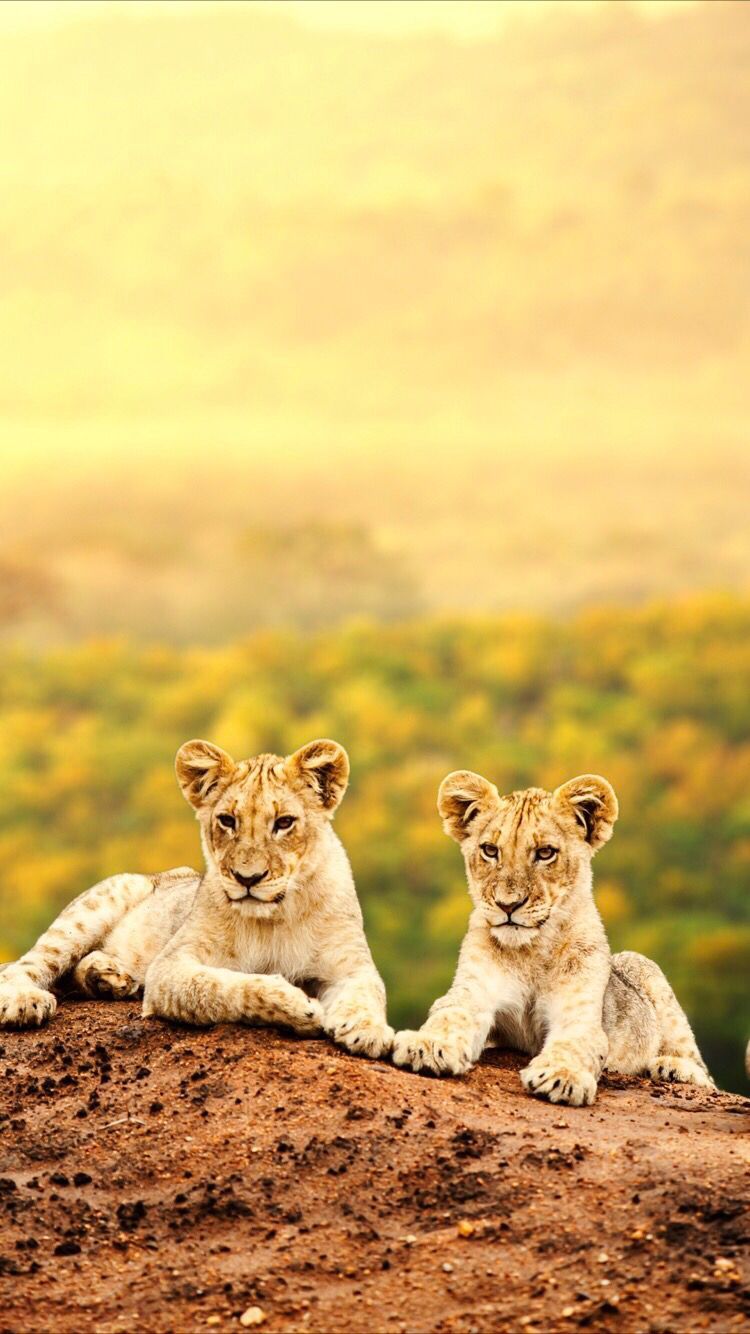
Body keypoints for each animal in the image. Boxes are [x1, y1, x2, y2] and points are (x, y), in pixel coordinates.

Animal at [0, 738, 394, 1060]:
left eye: (284, 822)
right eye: (227, 820)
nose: (248, 878)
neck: (275, 917)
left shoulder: (350, 964)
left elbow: (368, 993)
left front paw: (369, 1031)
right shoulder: (171, 967)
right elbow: (225, 986)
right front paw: (296, 1004)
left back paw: (110, 978)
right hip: (97, 906)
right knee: (27, 966)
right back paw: (25, 1001)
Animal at [392, 770, 712, 1104]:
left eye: (545, 853)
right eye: (490, 850)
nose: (508, 905)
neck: (530, 952)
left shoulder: (580, 1013)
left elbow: (574, 1042)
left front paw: (561, 1076)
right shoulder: (474, 990)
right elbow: (450, 1014)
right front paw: (427, 1045)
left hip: (644, 968)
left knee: (702, 1069)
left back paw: (673, 1068)